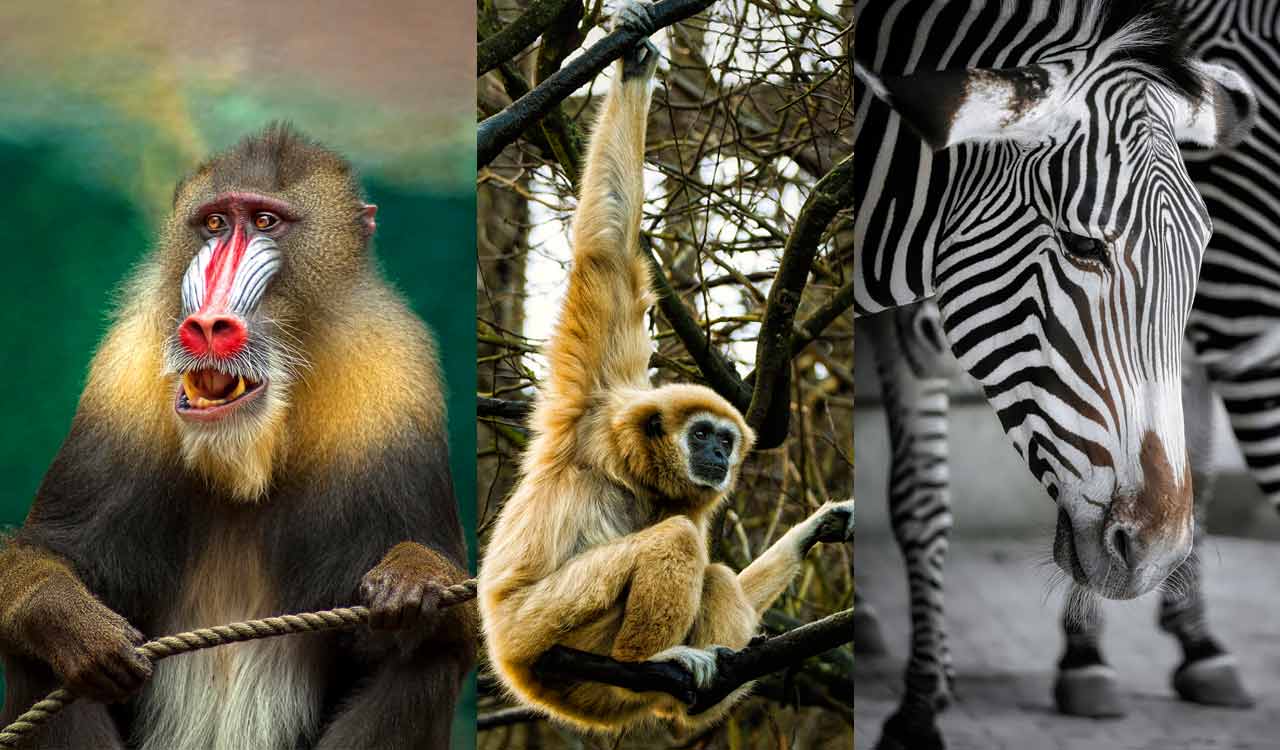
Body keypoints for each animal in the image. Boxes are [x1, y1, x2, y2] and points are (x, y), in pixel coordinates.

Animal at [859, 0, 1280, 738]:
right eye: (1083, 245)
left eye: (1200, 250)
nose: (1156, 552)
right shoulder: (890, 328)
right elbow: (919, 501)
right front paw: (918, 705)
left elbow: (1192, 466)